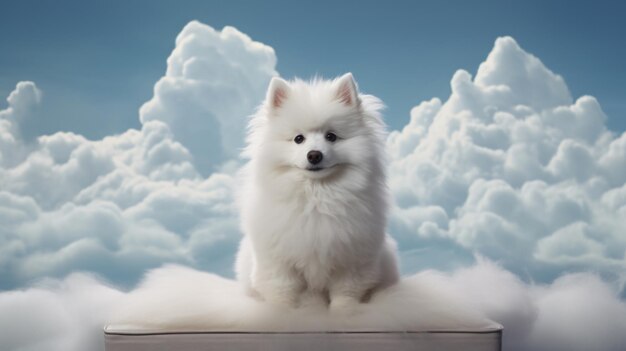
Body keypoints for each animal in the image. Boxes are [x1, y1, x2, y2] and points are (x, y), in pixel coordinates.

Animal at [234, 73, 400, 310]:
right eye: (298, 139)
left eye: (331, 136)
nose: (314, 155)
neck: (317, 196)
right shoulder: (278, 263)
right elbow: (283, 293)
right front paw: (283, 313)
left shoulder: (352, 260)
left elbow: (345, 293)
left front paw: (346, 312)